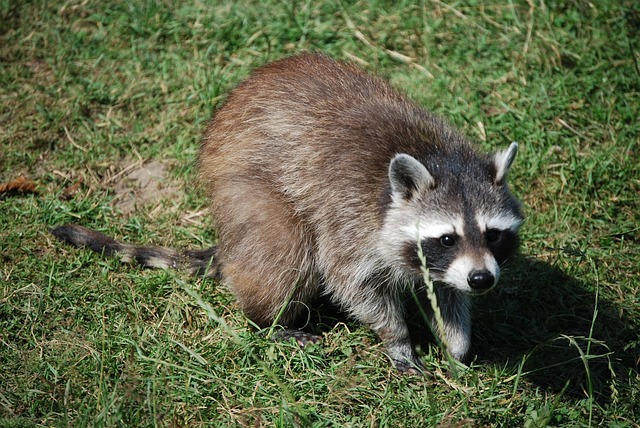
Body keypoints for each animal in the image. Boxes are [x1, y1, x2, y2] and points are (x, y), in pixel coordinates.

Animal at [52, 53, 523, 374]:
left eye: (493, 234)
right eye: (447, 238)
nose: (483, 280)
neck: (437, 157)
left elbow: (445, 289)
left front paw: (456, 341)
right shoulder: (349, 218)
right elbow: (351, 283)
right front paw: (398, 337)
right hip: (244, 193)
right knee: (285, 249)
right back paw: (268, 319)